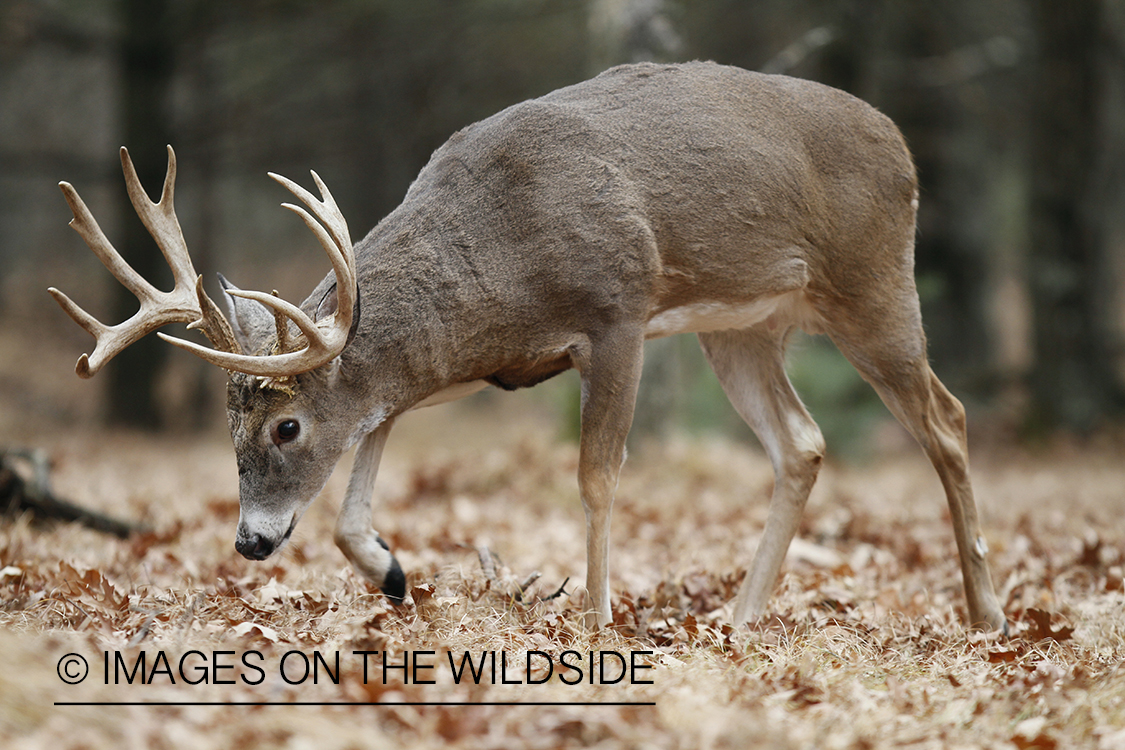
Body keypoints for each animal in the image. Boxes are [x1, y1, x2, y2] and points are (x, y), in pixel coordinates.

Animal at [48, 61, 1008, 629]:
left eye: (285, 428)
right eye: (229, 428)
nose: (250, 542)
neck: (504, 261)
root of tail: (902, 146)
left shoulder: (617, 314)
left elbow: (595, 478)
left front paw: (594, 621)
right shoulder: (444, 373)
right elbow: (359, 481)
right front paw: (392, 574)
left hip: (871, 283)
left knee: (949, 419)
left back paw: (986, 612)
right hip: (743, 327)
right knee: (802, 442)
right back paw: (739, 620)